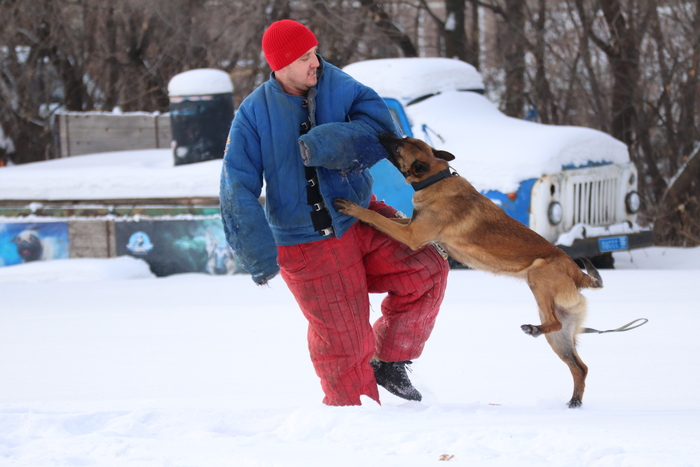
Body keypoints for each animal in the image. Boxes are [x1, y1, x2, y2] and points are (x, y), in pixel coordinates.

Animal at [334, 133, 603, 408]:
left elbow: (378, 219)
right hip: (560, 337)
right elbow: (388, 219)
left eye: (398, 146)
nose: (383, 134)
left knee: (555, 325)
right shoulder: (411, 226)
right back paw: (574, 401)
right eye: (405, 138)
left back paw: (533, 329)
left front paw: (354, 209)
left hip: (538, 278)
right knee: (579, 366)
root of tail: (578, 274)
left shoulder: (412, 235)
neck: (437, 179)